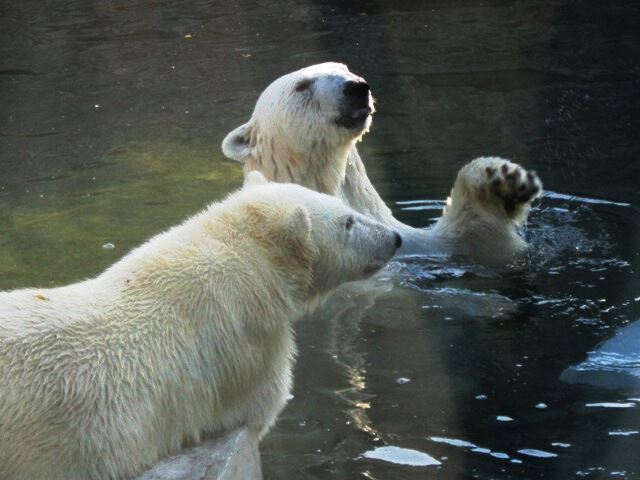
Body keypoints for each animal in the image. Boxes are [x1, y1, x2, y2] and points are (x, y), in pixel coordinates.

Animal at [0, 173, 400, 480]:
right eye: (348, 221)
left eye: (343, 206)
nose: (393, 238)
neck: (247, 256)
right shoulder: (251, 343)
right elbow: (262, 405)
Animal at [222, 61, 544, 266]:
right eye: (302, 86)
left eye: (344, 67)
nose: (356, 87)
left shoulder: (408, 245)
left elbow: (468, 241)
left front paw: (504, 181)